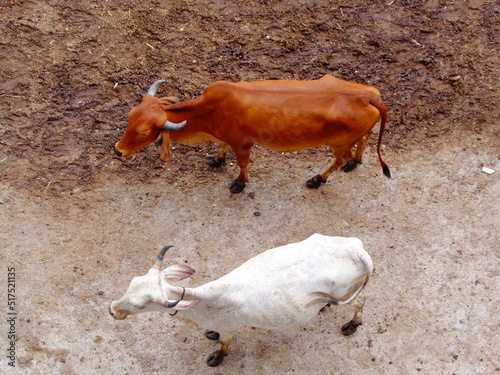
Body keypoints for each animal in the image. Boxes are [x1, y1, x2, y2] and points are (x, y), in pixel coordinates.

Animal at [110, 235, 376, 368]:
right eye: (131, 282)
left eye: (141, 305)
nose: (112, 311)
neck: (206, 305)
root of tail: (356, 248)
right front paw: (210, 334)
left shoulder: (230, 328)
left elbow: (224, 344)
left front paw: (217, 358)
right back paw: (325, 306)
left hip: (348, 292)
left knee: (361, 300)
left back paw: (352, 325)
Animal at [114, 76, 390, 194]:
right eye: (130, 116)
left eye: (143, 131)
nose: (118, 150)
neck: (207, 112)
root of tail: (367, 95)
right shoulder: (226, 138)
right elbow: (221, 148)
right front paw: (217, 160)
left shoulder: (242, 144)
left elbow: (243, 165)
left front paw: (239, 183)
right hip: (356, 133)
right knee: (364, 139)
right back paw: (356, 161)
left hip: (338, 143)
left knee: (339, 159)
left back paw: (317, 179)